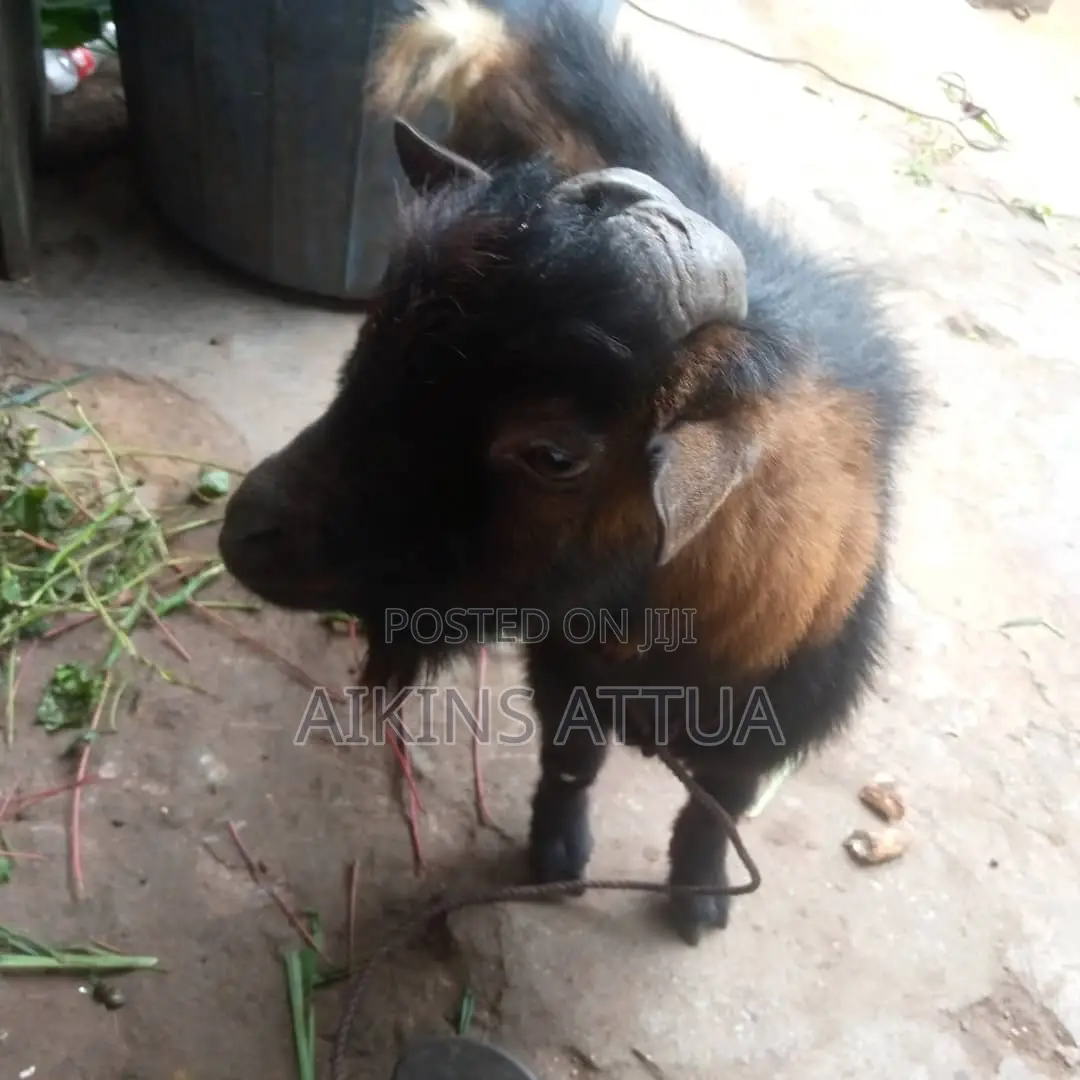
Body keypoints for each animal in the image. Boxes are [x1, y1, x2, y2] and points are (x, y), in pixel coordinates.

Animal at [218, 0, 918, 946]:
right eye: (377, 336)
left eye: (553, 454)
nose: (245, 531)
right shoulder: (564, 664)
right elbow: (571, 761)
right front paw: (555, 857)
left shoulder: (768, 720)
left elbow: (716, 811)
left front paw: (698, 896)